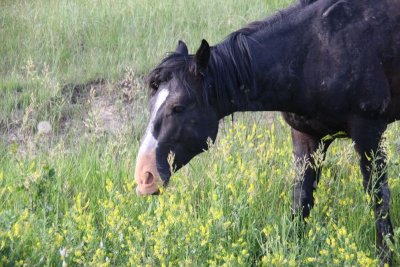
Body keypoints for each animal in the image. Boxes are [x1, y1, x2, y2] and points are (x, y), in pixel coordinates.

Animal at [135, 0, 400, 264]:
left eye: (178, 107)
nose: (144, 176)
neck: (315, 52)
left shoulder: (369, 132)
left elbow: (378, 196)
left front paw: (386, 255)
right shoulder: (306, 136)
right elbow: (302, 198)